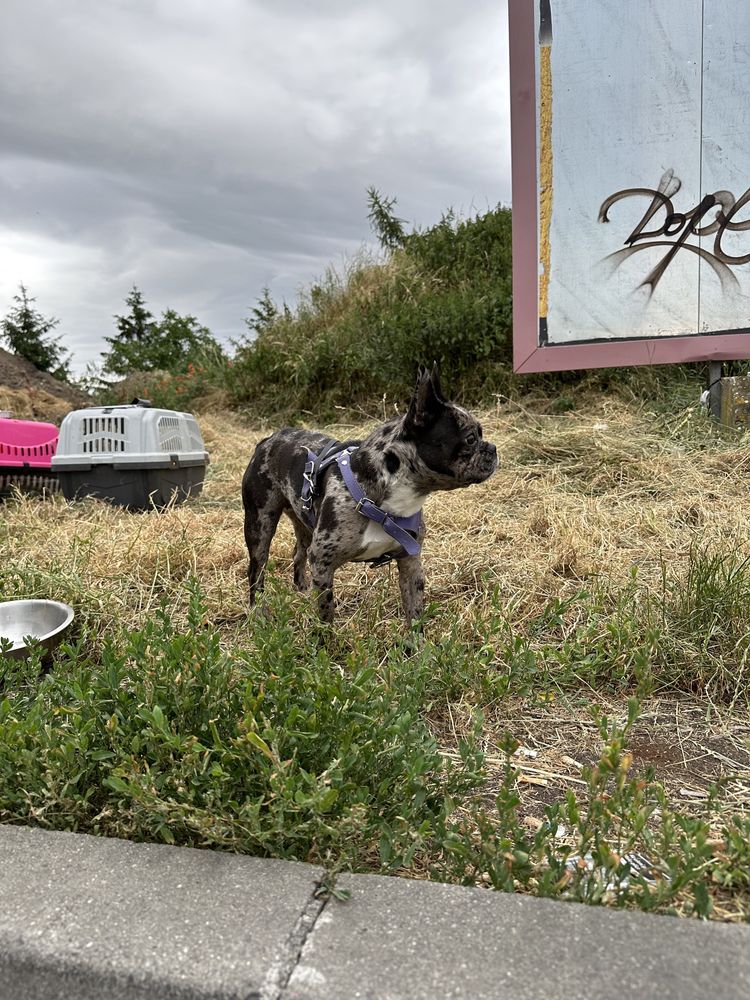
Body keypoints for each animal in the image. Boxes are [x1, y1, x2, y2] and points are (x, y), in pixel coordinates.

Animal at [242, 368, 500, 624]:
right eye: (470, 438)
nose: (493, 448)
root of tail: (269, 439)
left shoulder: (411, 564)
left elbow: (415, 615)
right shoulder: (323, 565)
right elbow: (326, 616)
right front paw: (324, 636)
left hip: (303, 522)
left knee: (298, 553)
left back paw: (302, 589)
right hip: (260, 526)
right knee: (257, 570)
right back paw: (258, 612)